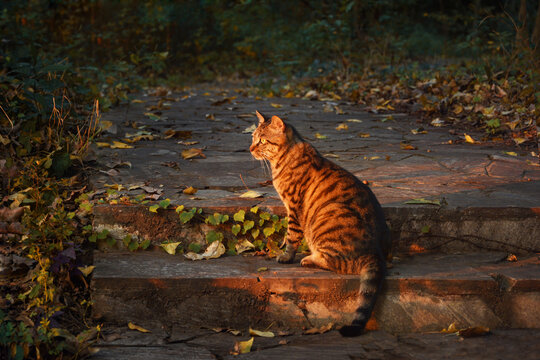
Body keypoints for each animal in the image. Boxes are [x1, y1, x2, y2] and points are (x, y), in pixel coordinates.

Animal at [251, 111, 390, 336]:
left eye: (262, 140)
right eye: (253, 137)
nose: (250, 148)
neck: (284, 158)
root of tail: (375, 253)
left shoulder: (294, 207)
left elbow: (291, 235)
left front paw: (286, 255)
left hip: (327, 217)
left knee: (340, 264)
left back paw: (310, 259)